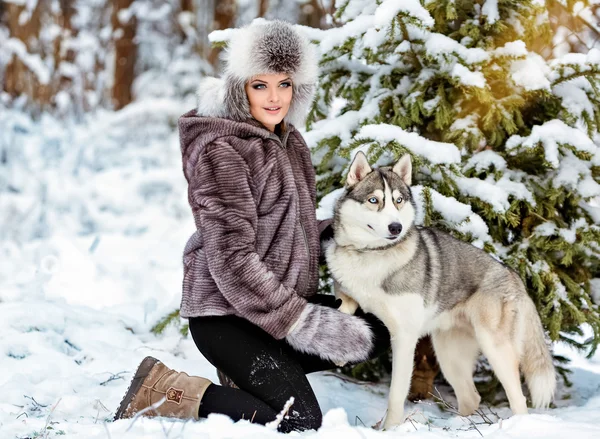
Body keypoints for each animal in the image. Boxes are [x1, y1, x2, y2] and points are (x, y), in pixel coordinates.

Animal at [326, 151, 556, 430]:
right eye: (374, 200)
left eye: (398, 201)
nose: (396, 228)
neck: (372, 255)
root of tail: (513, 274)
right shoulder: (346, 292)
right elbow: (344, 306)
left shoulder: (404, 337)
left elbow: (396, 393)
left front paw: (390, 429)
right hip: (450, 356)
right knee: (471, 397)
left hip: (496, 349)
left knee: (518, 399)